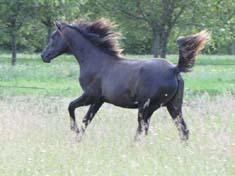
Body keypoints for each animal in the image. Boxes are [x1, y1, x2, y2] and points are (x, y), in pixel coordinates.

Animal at [40, 18, 209, 140]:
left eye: (53, 37)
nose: (43, 56)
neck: (95, 60)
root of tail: (174, 69)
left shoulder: (90, 95)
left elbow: (71, 106)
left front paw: (74, 131)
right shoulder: (98, 100)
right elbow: (86, 120)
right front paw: (78, 138)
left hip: (147, 107)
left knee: (142, 130)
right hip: (173, 106)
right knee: (183, 131)